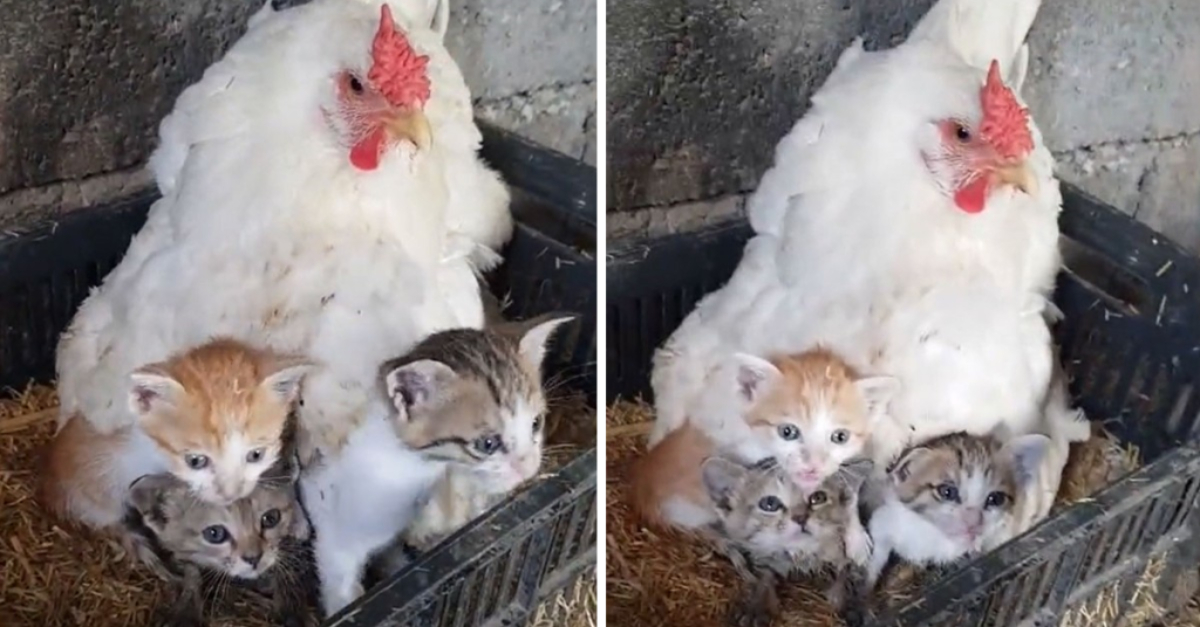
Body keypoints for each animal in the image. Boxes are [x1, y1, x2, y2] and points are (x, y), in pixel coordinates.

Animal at [700, 454, 873, 624]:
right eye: (770, 503)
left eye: (818, 497)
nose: (801, 517)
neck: (801, 554)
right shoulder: (763, 557)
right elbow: (764, 576)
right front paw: (757, 605)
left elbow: (847, 574)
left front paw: (850, 603)